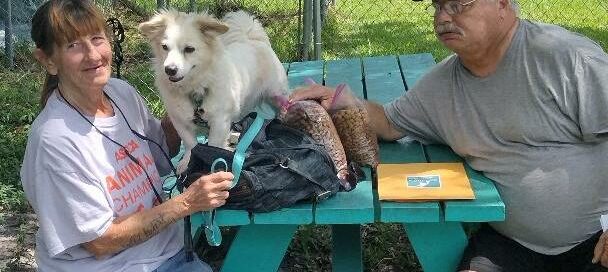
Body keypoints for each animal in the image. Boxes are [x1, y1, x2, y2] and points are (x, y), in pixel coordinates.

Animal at [140, 10, 288, 174]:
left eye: (189, 49)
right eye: (164, 47)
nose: (169, 70)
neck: (194, 88)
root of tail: (252, 39)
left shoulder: (219, 122)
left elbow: (212, 145)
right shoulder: (180, 122)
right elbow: (191, 144)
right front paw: (188, 162)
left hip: (277, 94)